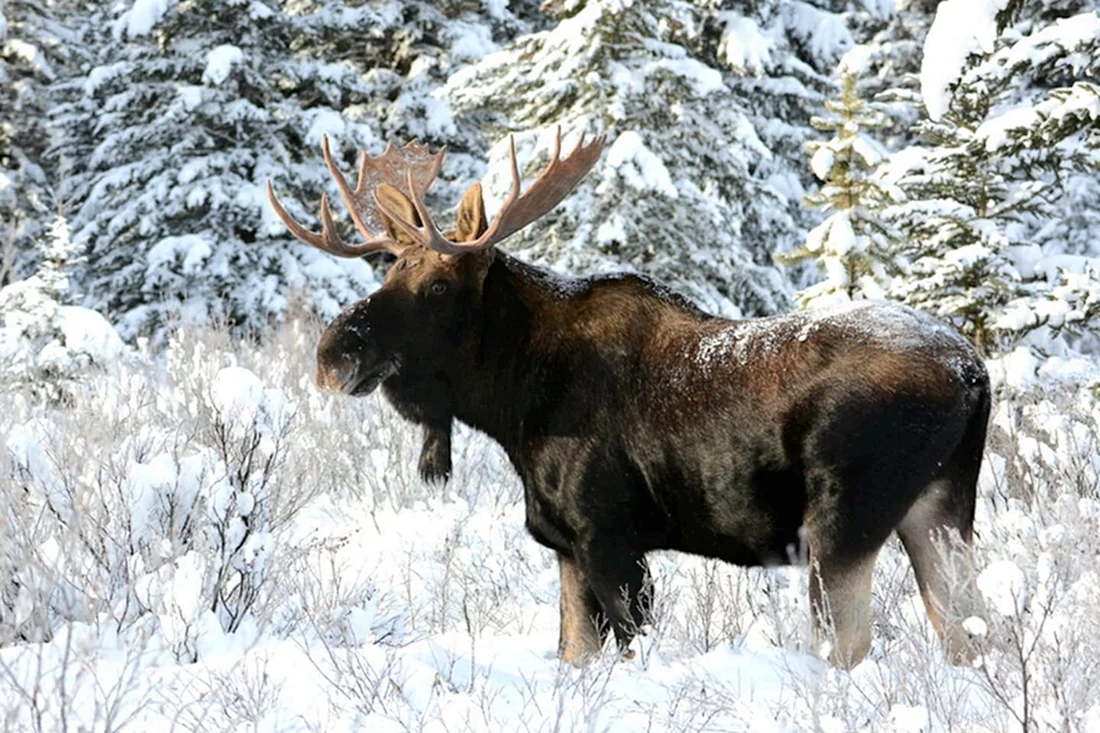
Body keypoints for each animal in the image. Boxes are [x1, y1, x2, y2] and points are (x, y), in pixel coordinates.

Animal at [267, 128, 990, 668]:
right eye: (388, 271)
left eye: (439, 285)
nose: (332, 354)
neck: (515, 404)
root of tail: (973, 372)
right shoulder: (564, 543)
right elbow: (574, 652)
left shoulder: (608, 534)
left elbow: (627, 647)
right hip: (940, 506)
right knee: (969, 632)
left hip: (843, 518)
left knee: (850, 641)